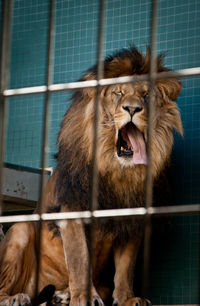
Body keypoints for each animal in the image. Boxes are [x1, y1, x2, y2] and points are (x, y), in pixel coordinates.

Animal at [0, 46, 183, 306]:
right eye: (119, 93)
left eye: (146, 95)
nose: (132, 109)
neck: (117, 171)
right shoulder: (72, 212)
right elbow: (80, 260)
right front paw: (84, 298)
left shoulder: (131, 219)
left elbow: (125, 267)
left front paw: (128, 298)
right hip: (21, 229)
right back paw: (16, 298)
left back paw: (61, 296)